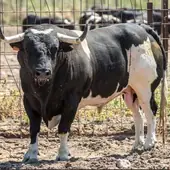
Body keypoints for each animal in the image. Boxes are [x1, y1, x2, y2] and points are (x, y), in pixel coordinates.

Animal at [0, 21, 167, 163]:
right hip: (129, 92)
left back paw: (149, 143)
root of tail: (142, 28)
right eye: (27, 49)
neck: (45, 91)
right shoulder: (29, 100)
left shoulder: (71, 102)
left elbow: (63, 128)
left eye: (55, 48)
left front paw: (62, 154)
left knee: (151, 112)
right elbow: (34, 129)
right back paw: (137, 144)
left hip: (145, 89)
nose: (42, 72)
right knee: (138, 116)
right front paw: (31, 155)